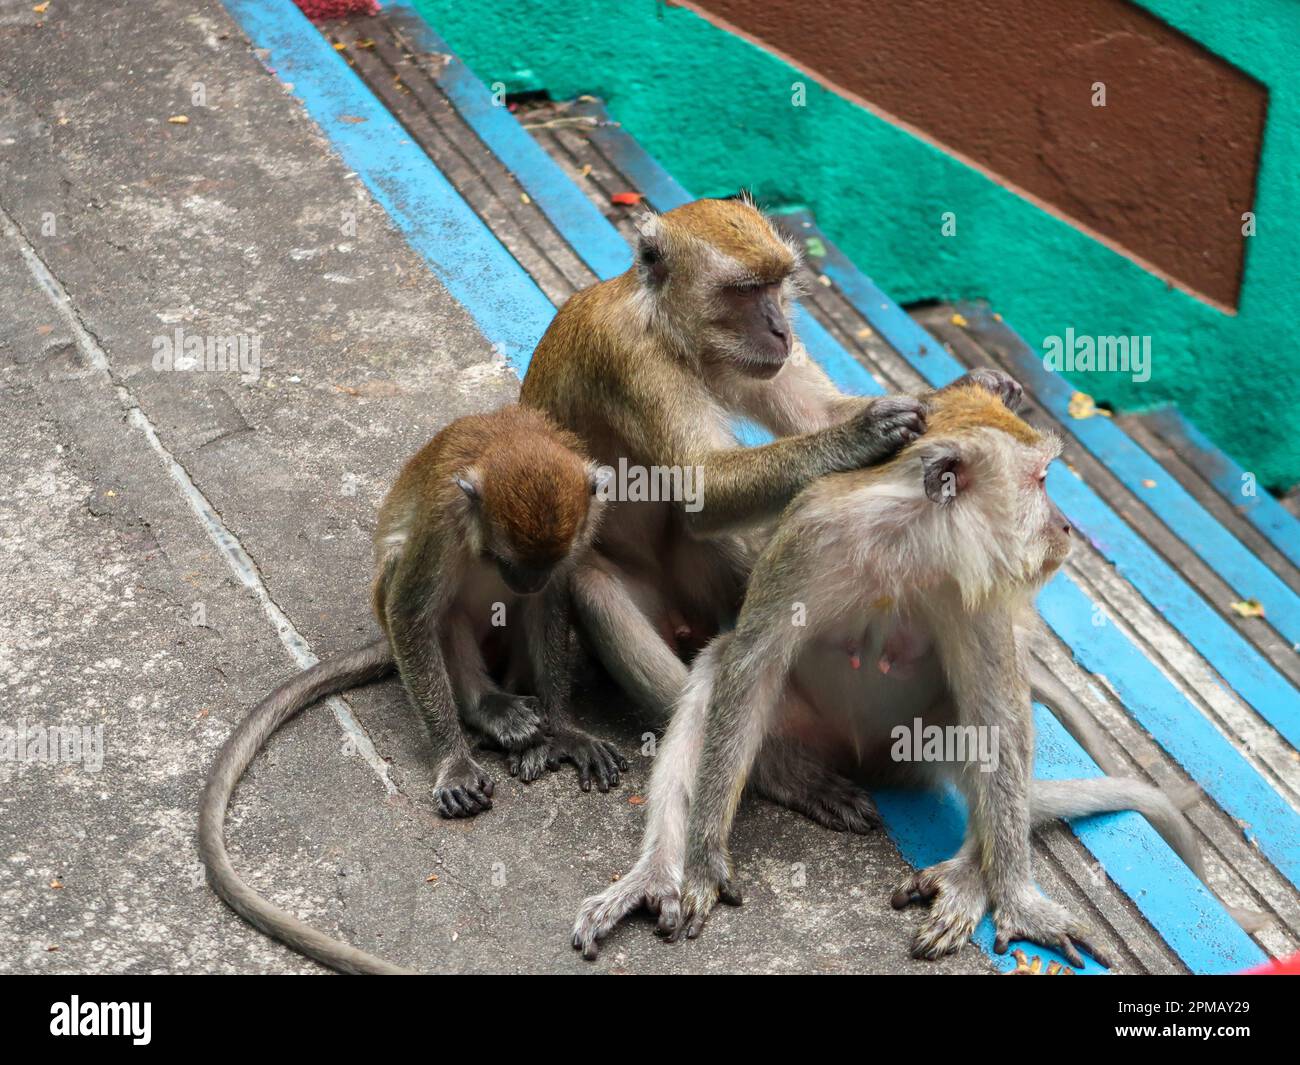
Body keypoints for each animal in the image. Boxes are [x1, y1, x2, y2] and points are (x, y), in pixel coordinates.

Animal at [202, 403, 624, 972]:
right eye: (507, 560)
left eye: (542, 564)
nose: (526, 580)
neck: (512, 439)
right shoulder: (443, 520)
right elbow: (413, 612)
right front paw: (452, 760)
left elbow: (551, 605)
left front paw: (566, 730)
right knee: (430, 609)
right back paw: (488, 710)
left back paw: (527, 734)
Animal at [517, 193, 946, 832]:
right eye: (744, 291)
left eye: (776, 285)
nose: (780, 328)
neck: (667, 330)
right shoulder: (631, 361)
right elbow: (703, 485)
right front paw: (865, 433)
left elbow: (814, 416)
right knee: (597, 587)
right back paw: (780, 771)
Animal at [574, 377, 1201, 967]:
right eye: (1042, 480)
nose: (1067, 527)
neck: (908, 539)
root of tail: (862, 761)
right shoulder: (809, 539)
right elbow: (751, 667)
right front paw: (704, 862)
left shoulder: (982, 579)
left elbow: (997, 712)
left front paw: (1017, 898)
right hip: (805, 728)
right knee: (714, 672)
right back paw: (664, 866)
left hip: (912, 747)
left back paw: (968, 877)